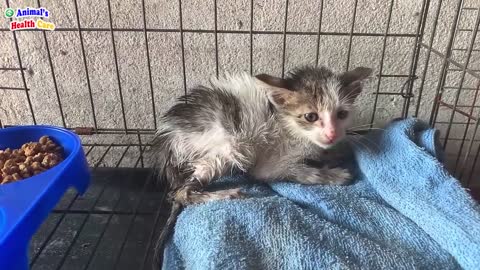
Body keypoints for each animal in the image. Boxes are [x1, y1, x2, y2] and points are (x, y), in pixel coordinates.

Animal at [150, 66, 372, 266]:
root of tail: (166, 139)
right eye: (311, 117)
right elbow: (301, 173)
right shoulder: (270, 165)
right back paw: (226, 195)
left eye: (342, 114)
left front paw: (336, 152)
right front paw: (335, 175)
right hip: (229, 147)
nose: (332, 134)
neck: (290, 127)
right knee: (180, 193)